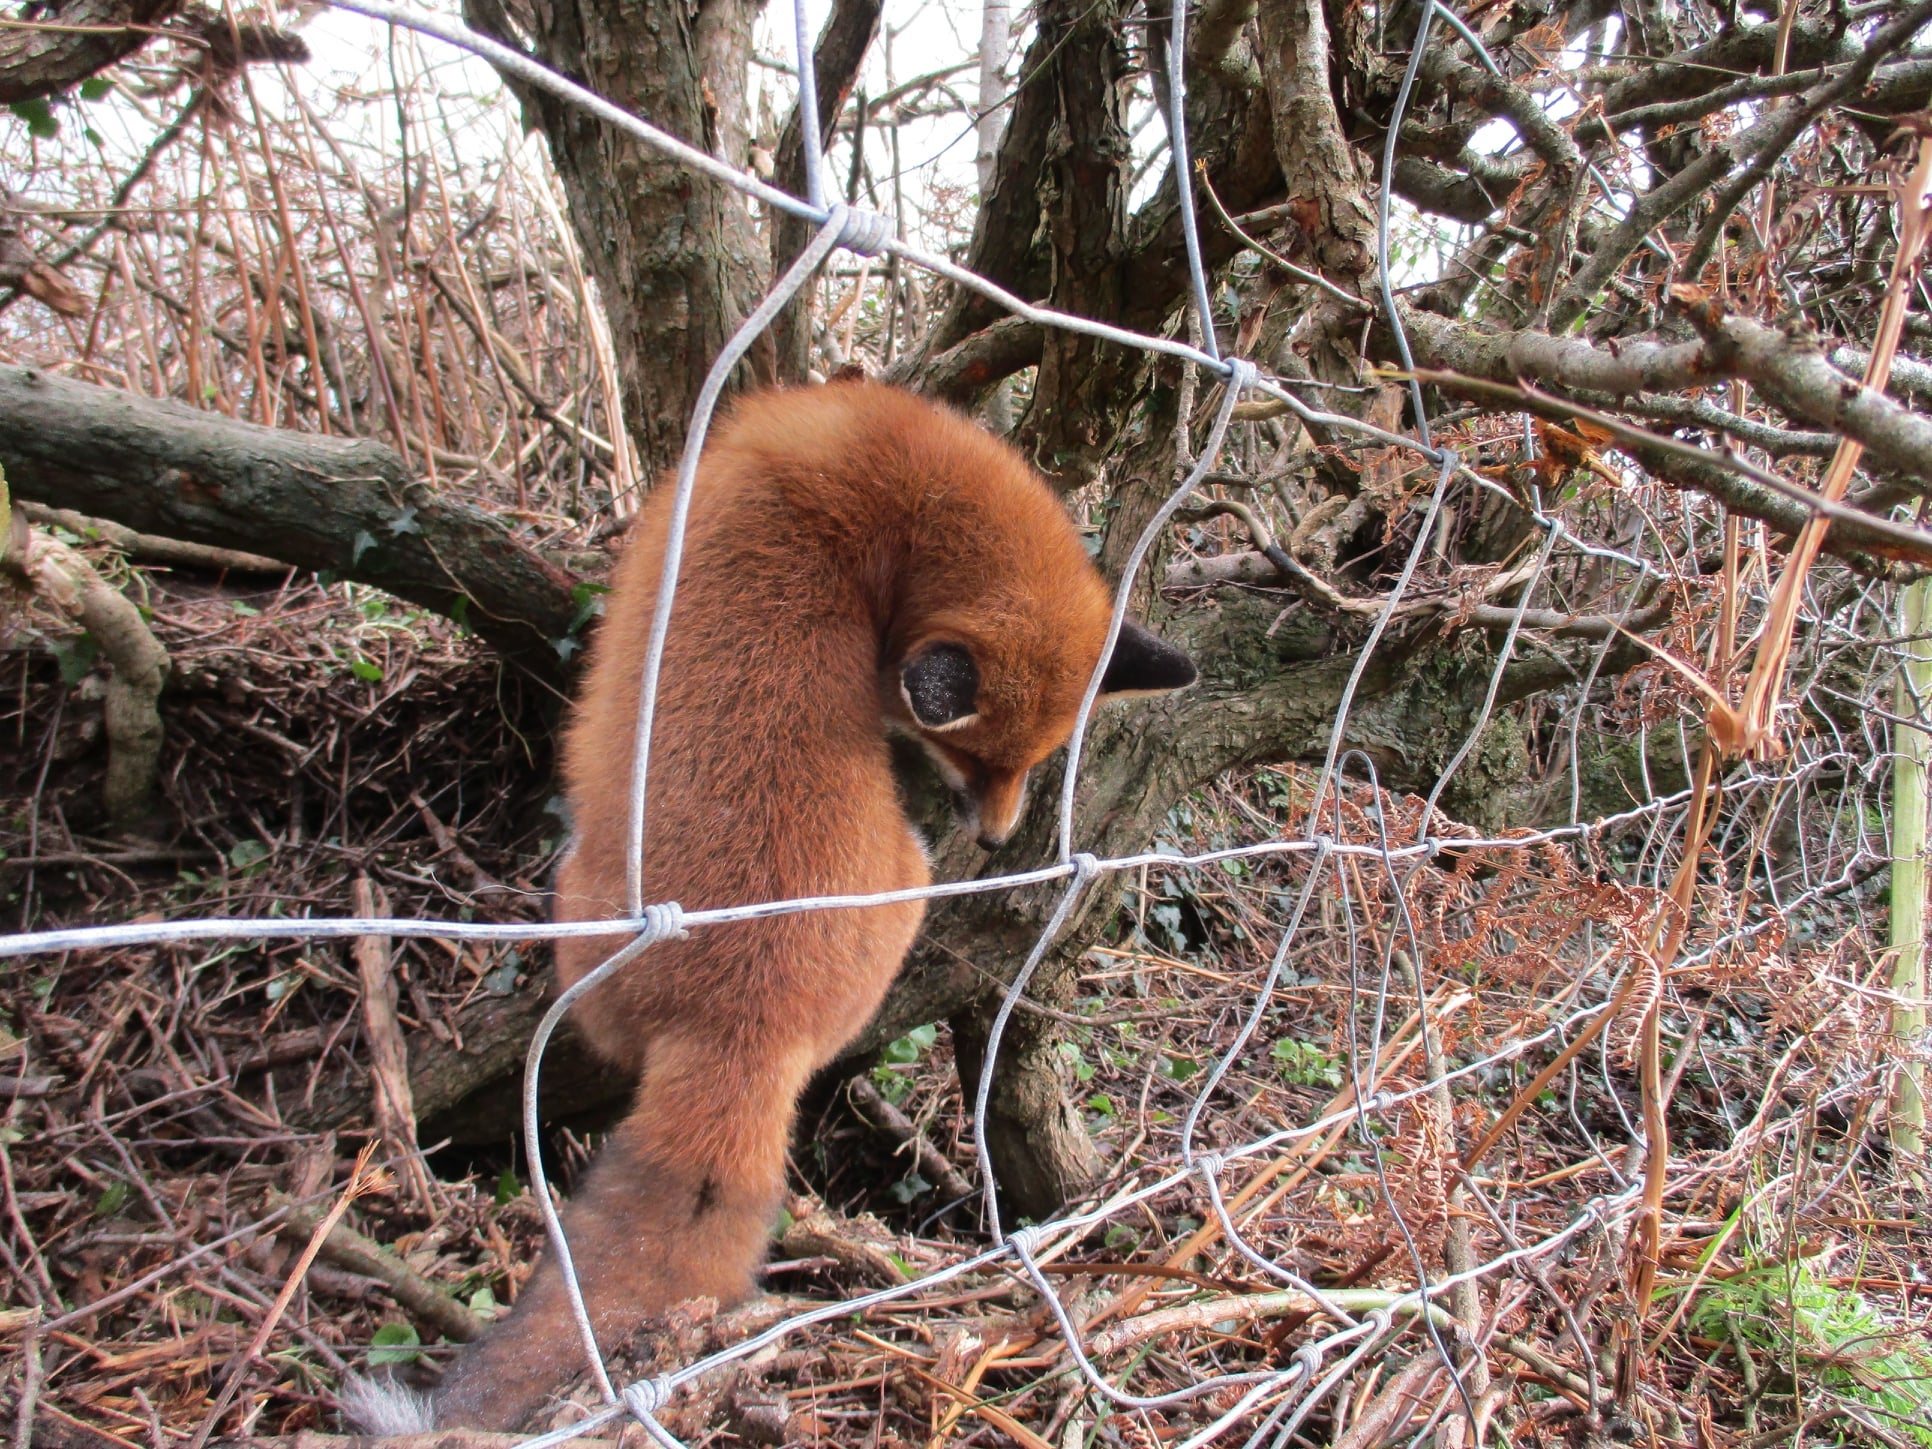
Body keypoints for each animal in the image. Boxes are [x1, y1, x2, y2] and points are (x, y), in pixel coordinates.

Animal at [347, 380, 1190, 1437]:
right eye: (979, 757)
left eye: (1034, 764)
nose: (997, 842)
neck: (882, 475)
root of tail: (742, 1028)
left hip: (582, 890)